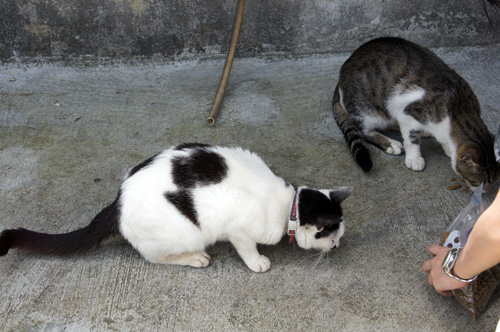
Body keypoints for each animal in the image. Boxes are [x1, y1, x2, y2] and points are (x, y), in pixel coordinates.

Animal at [0, 143, 352, 272]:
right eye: (332, 236)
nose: (337, 247)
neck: (287, 205)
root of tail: (118, 201)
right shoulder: (238, 230)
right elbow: (247, 248)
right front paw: (258, 262)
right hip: (184, 232)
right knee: (154, 256)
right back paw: (195, 258)